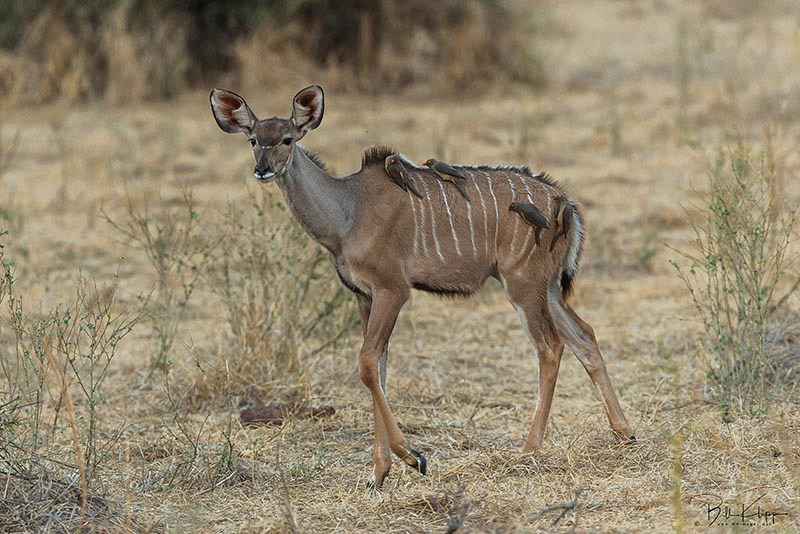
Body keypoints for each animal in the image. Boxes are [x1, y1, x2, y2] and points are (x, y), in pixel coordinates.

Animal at [209, 85, 636, 490]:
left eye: (287, 139)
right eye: (253, 139)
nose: (262, 169)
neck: (348, 212)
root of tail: (568, 206)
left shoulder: (392, 290)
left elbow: (367, 364)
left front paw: (413, 458)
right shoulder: (364, 295)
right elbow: (379, 367)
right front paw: (378, 475)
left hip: (523, 284)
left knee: (549, 348)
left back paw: (529, 449)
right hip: (547, 288)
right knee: (584, 336)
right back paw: (624, 432)